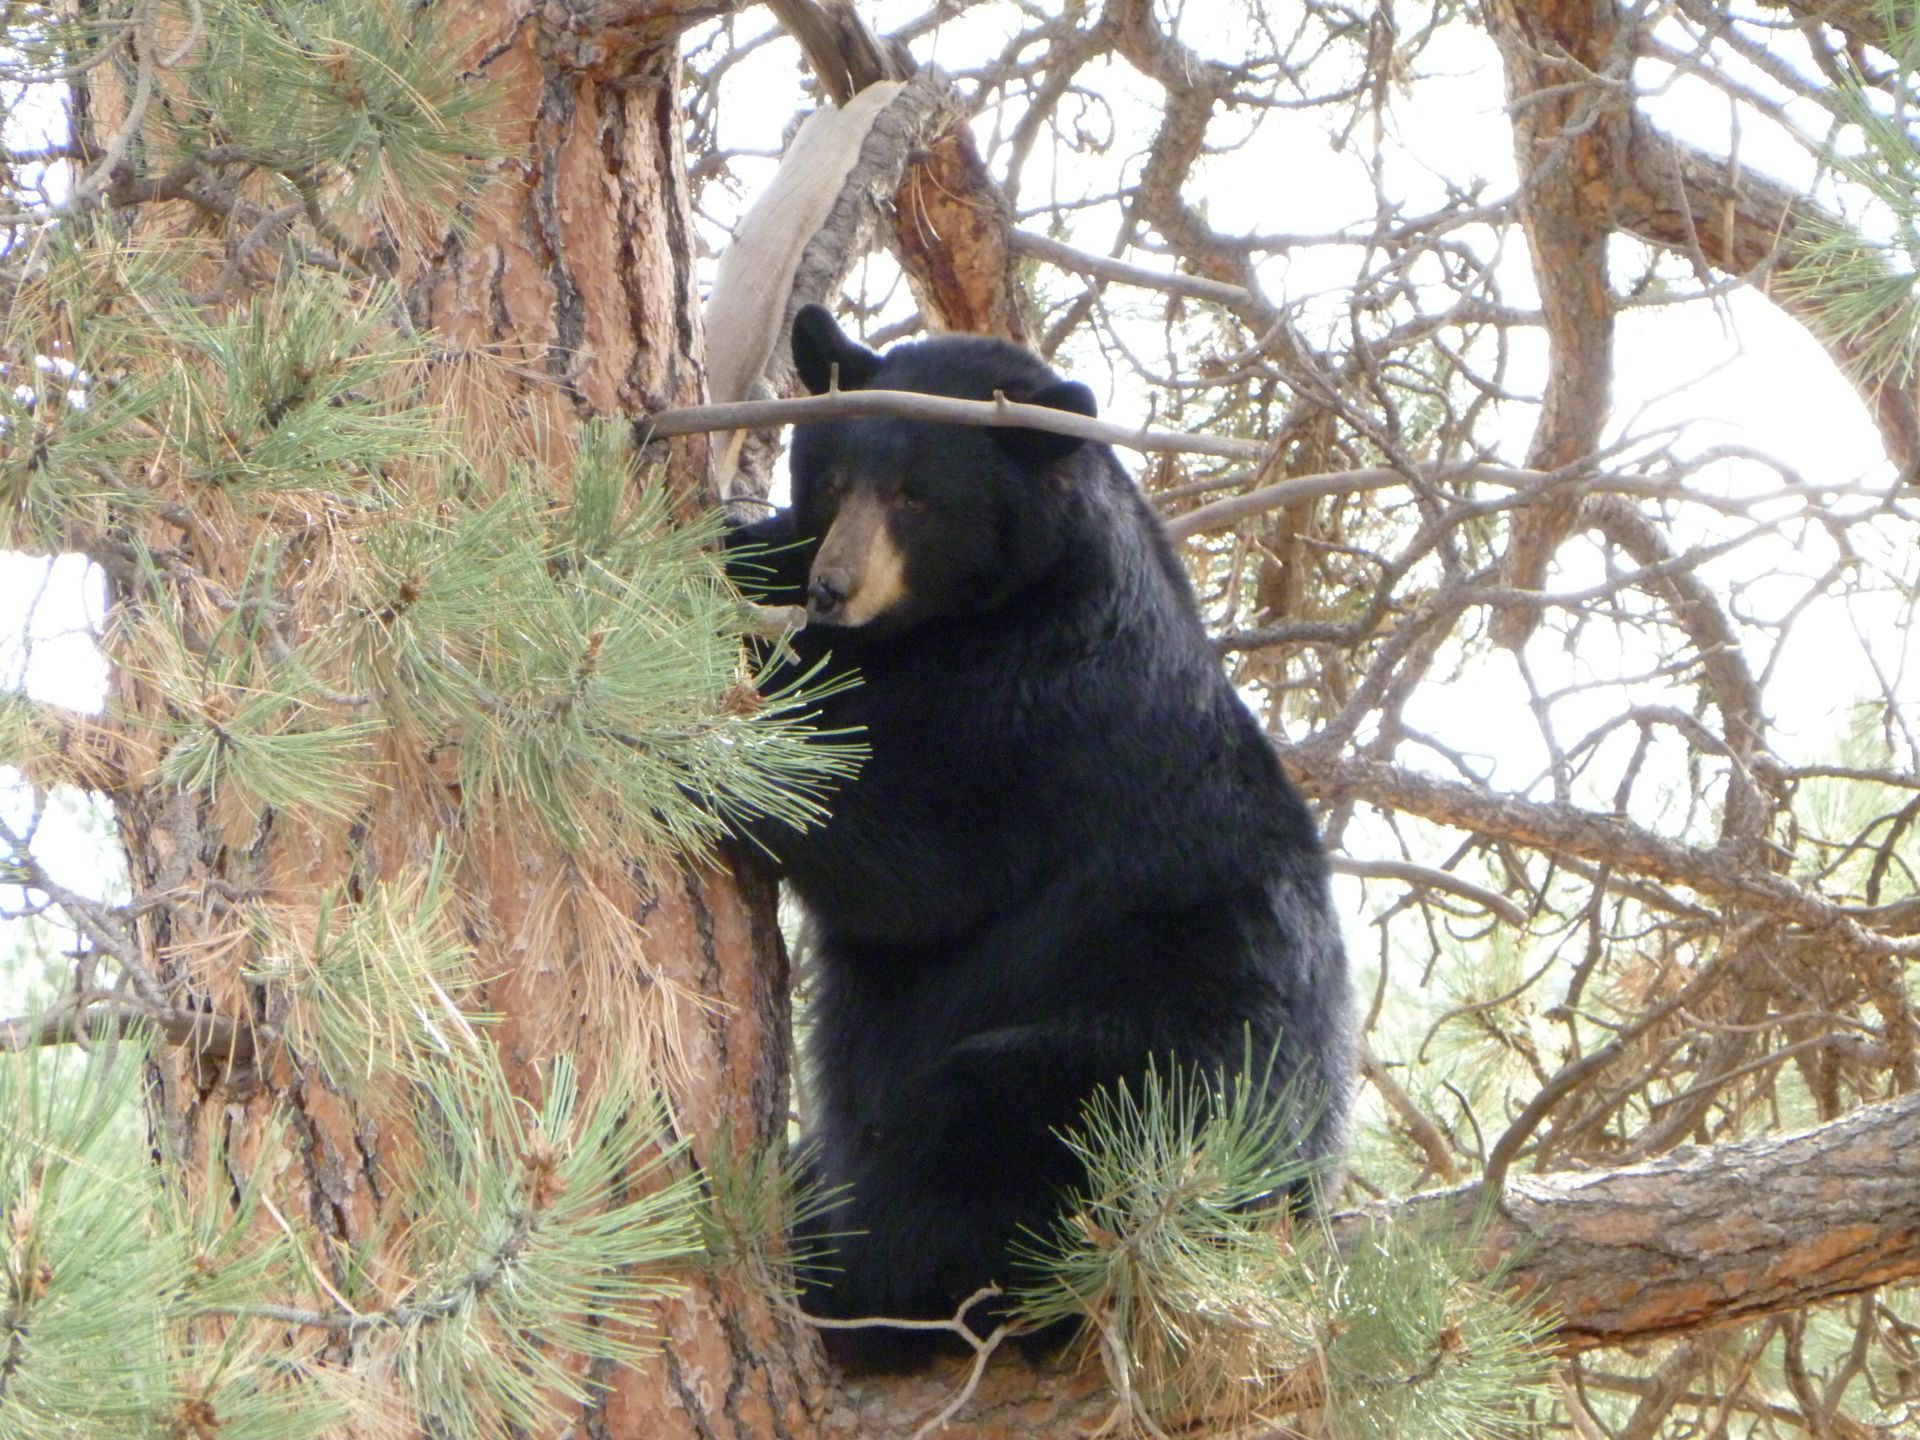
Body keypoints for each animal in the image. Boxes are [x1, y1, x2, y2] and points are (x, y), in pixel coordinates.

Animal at [725, 304, 1353, 1369]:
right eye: (834, 480)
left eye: (918, 495)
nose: (832, 589)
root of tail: (1292, 1204)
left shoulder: (1043, 712)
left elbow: (907, 857)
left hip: (1142, 1074)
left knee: (974, 1143)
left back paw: (840, 1271)